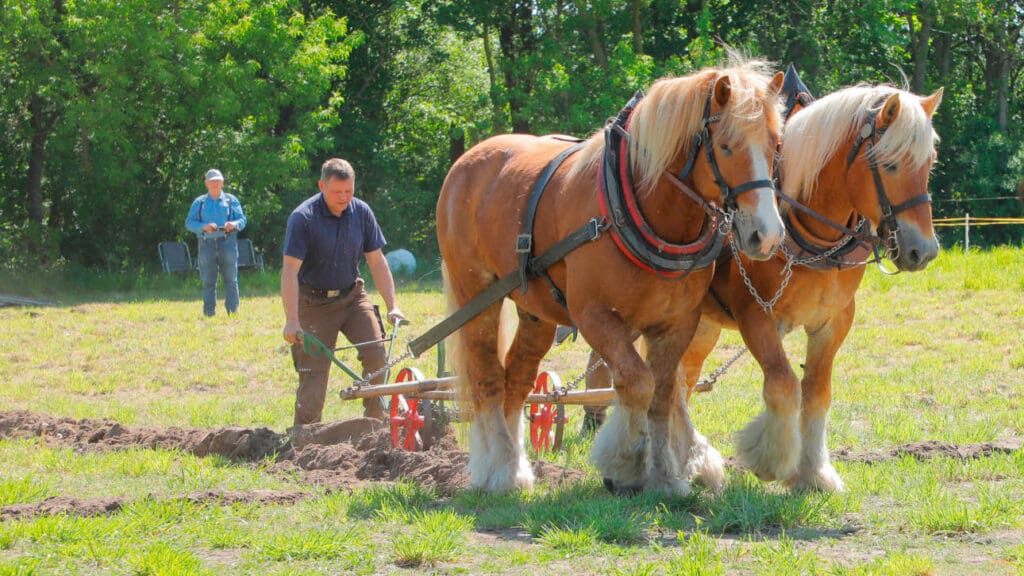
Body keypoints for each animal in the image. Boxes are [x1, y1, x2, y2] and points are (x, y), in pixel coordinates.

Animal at [438, 61, 782, 494]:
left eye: (775, 144)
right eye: (726, 146)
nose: (766, 235)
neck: (643, 209)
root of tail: (467, 161)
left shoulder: (677, 322)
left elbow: (663, 393)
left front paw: (665, 475)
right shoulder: (595, 316)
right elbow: (637, 383)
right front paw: (626, 464)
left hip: (535, 311)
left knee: (517, 377)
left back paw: (517, 465)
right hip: (476, 294)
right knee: (486, 377)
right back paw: (498, 470)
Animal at [679, 83, 942, 491]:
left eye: (929, 162)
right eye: (889, 163)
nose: (924, 250)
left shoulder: (833, 321)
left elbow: (817, 392)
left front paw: (815, 472)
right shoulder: (755, 315)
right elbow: (784, 384)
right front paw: (773, 460)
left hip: (704, 325)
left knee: (683, 380)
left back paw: (695, 460)